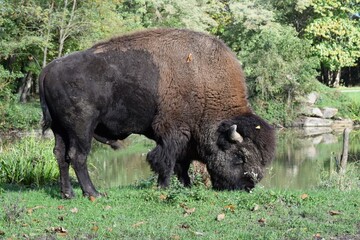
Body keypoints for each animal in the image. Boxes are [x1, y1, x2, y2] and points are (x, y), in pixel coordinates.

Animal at [39, 28, 276, 198]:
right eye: (240, 156)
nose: (248, 186)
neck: (204, 82)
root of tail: (48, 69)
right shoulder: (172, 132)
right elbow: (166, 160)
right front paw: (164, 187)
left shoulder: (184, 138)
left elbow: (182, 163)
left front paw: (186, 186)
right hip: (82, 128)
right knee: (77, 156)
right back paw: (94, 193)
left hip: (59, 129)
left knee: (60, 156)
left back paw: (68, 194)